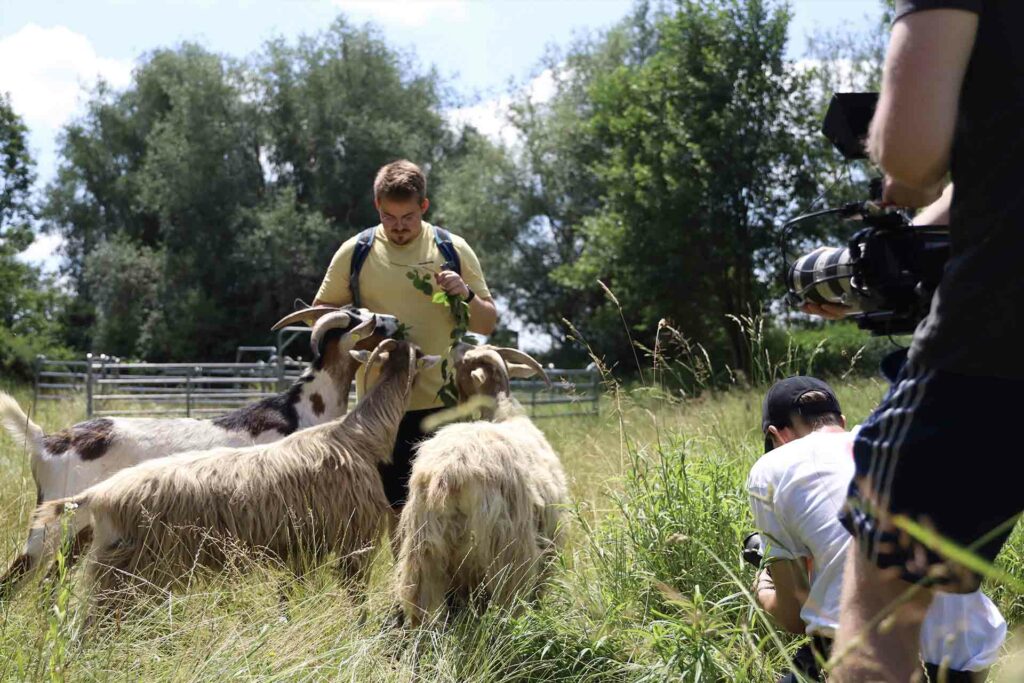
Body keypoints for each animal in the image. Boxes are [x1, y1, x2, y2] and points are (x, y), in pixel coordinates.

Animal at [393, 344, 569, 626]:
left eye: (461, 364)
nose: (453, 347)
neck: (505, 413)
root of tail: (451, 473)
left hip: (424, 547)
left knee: (422, 602)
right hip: (507, 549)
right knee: (509, 599)